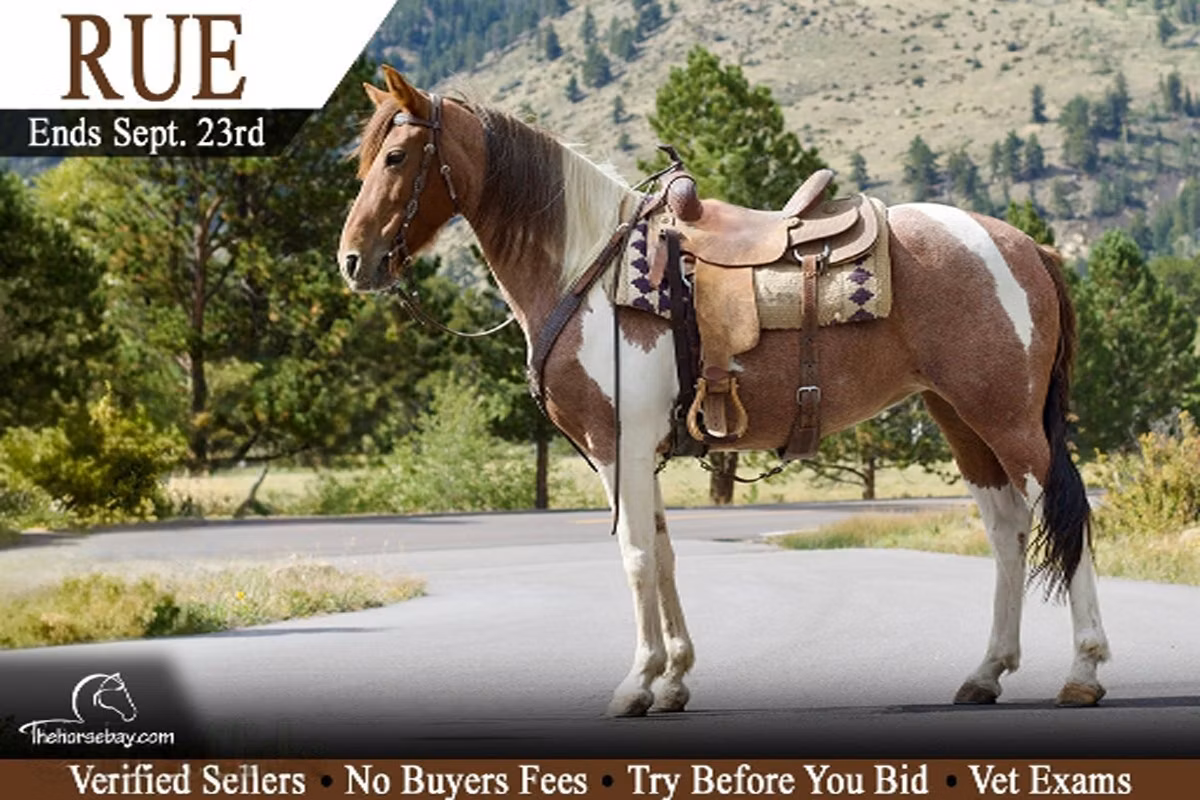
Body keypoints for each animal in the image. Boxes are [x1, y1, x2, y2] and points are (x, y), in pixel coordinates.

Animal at [337, 66, 1110, 717]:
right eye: (364, 161)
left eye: (397, 158)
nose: (352, 260)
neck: (588, 271)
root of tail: (1025, 245)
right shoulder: (643, 451)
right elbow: (665, 554)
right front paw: (674, 679)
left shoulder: (618, 446)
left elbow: (637, 558)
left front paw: (635, 684)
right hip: (960, 420)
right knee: (1007, 528)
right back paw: (986, 673)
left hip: (1007, 420)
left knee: (1061, 511)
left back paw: (1084, 671)